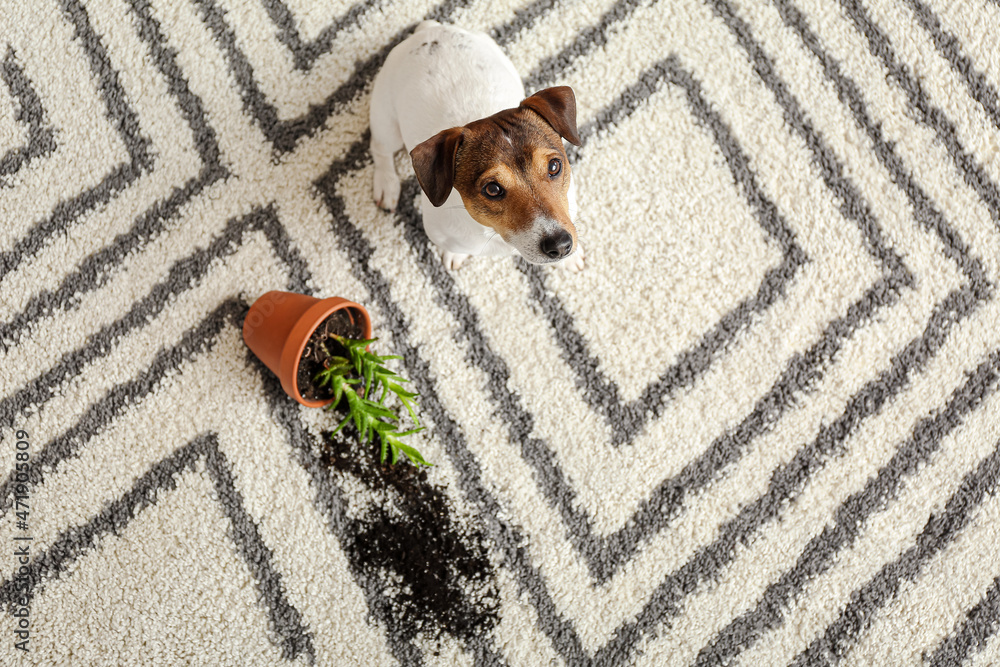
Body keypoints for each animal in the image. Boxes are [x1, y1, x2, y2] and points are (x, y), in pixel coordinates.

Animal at [368, 20, 584, 272]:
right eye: (492, 189)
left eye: (554, 166)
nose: (560, 245)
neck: (495, 234)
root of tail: (431, 31)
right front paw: (455, 254)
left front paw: (569, 259)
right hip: (386, 122)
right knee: (380, 150)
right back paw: (387, 184)